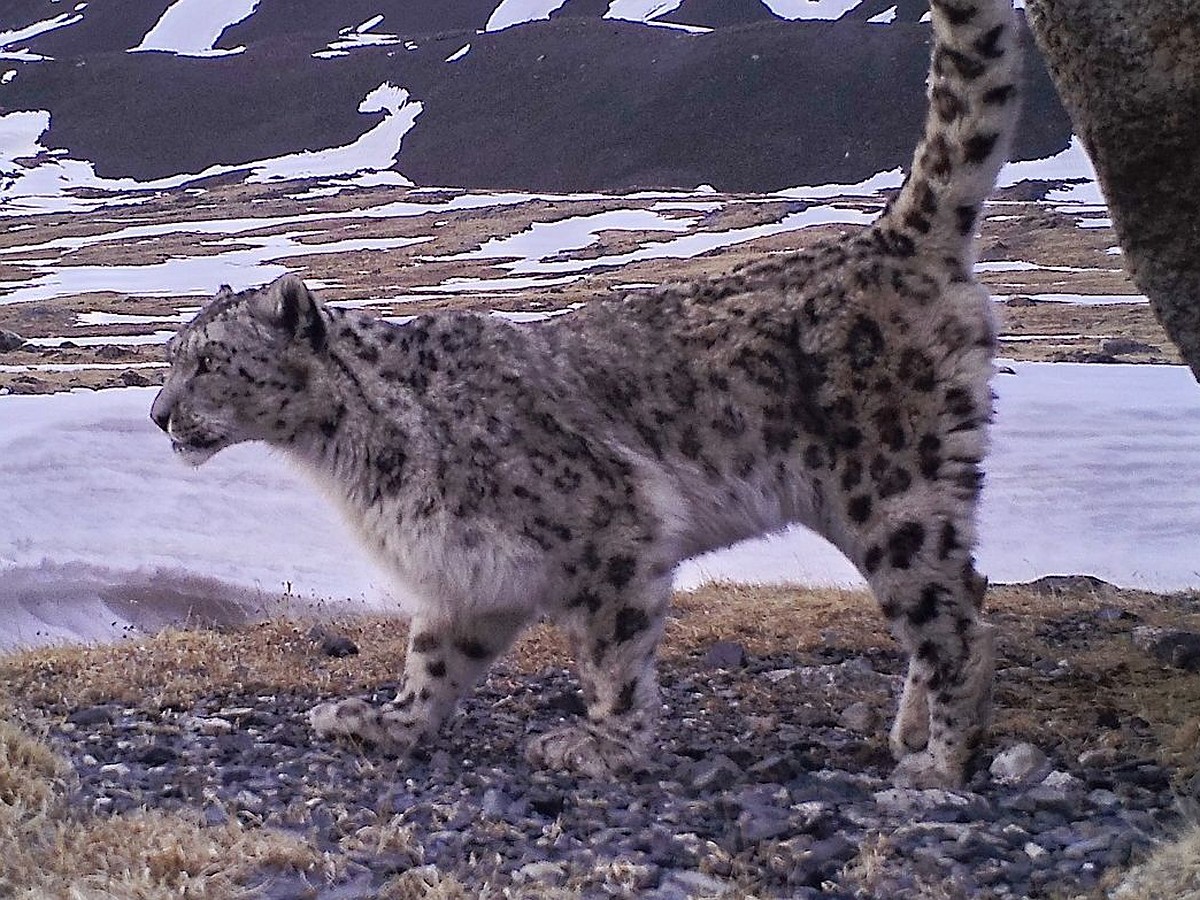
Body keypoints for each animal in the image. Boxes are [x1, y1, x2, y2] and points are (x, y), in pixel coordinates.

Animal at [152, 0, 1022, 787]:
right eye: (170, 355)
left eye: (208, 360)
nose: (158, 415)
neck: (348, 460)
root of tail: (890, 238)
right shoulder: (467, 575)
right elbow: (434, 660)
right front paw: (385, 722)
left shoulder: (612, 528)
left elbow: (612, 652)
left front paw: (604, 744)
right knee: (966, 592)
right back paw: (912, 733)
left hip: (892, 487)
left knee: (961, 626)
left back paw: (938, 763)